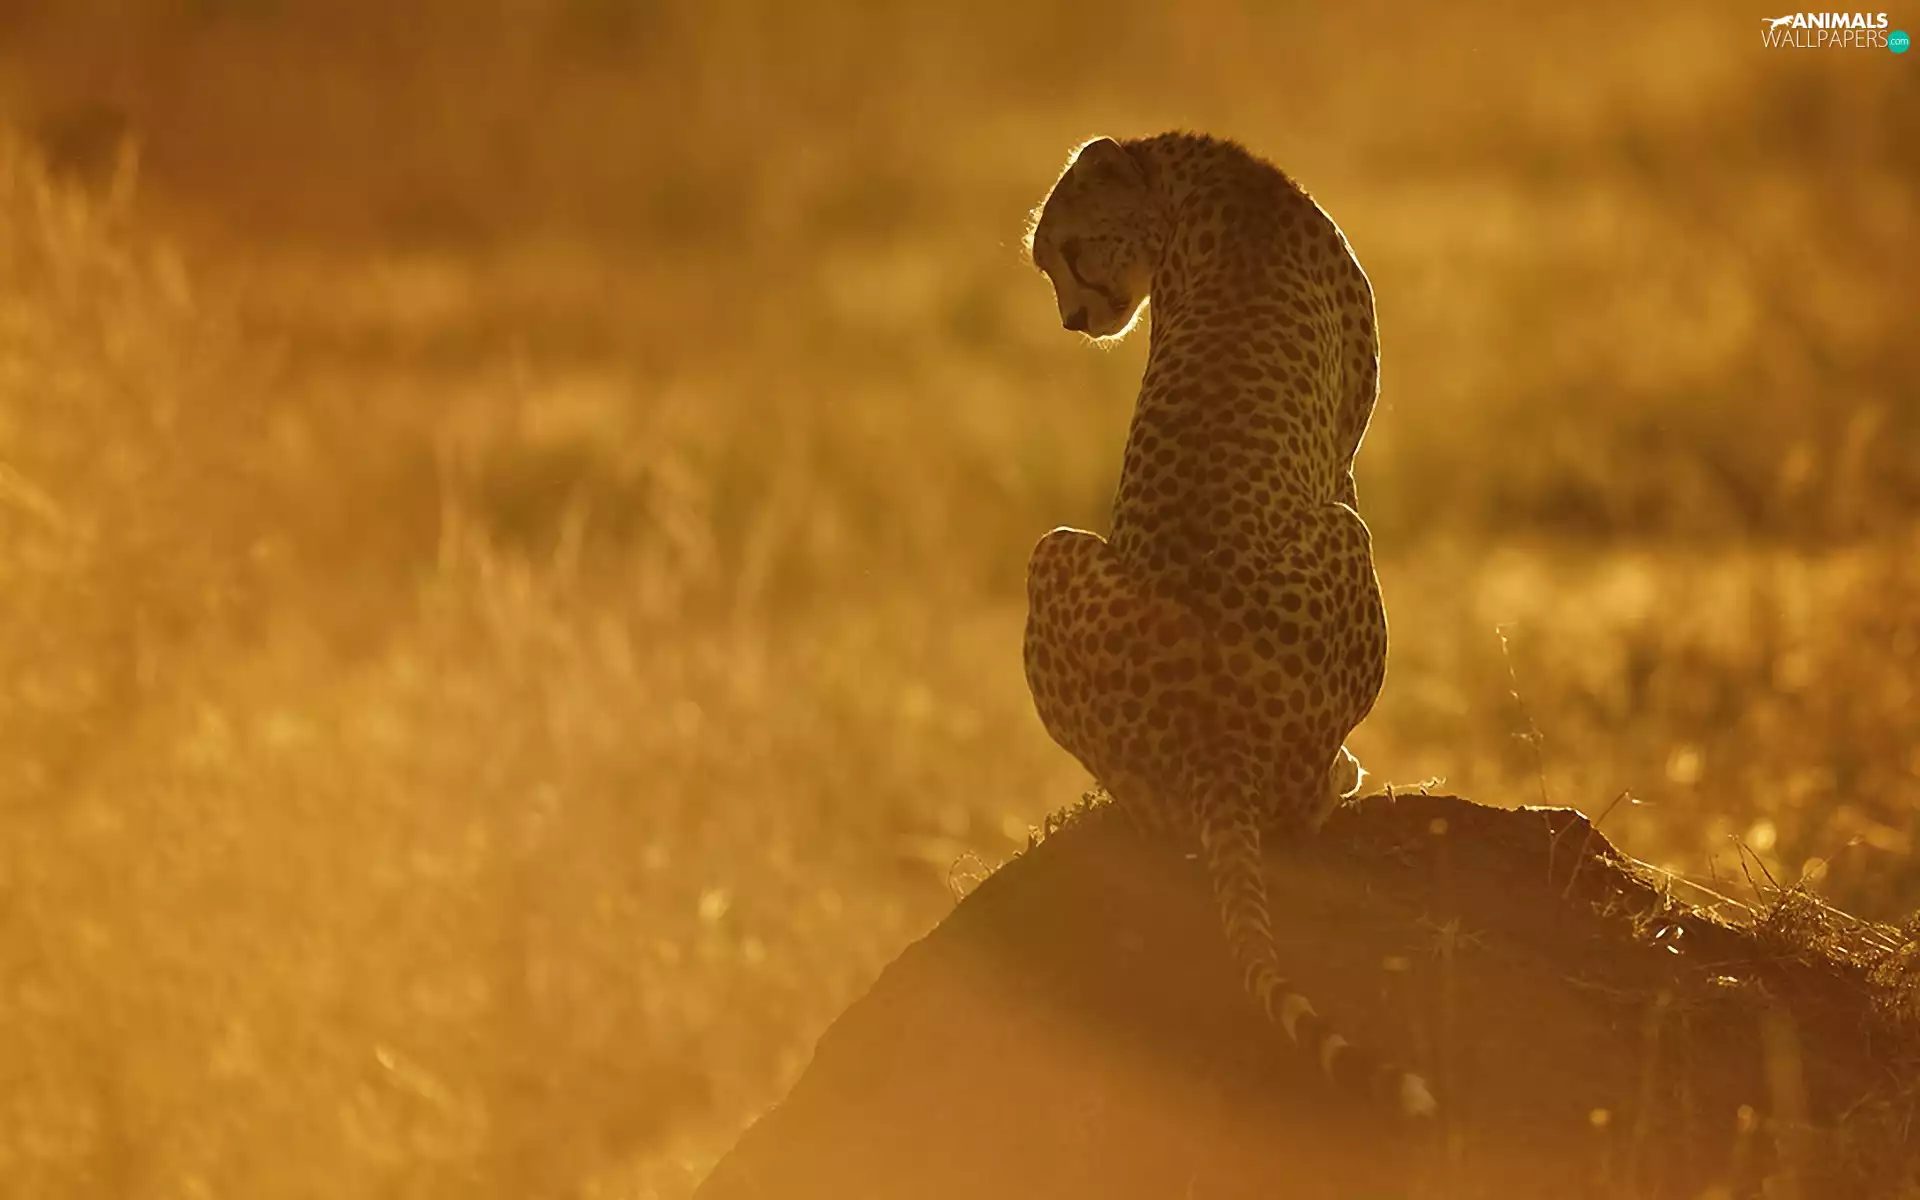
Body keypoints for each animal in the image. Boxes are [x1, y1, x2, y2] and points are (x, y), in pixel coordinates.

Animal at [1020, 132, 1435, 1119]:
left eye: (1072, 250)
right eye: (1049, 262)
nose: (1072, 318)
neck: (1179, 177)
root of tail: (1215, 744)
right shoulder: (1344, 458)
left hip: (1051, 557)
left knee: (1152, 815)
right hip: (1343, 538)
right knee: (1289, 811)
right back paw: (1342, 780)